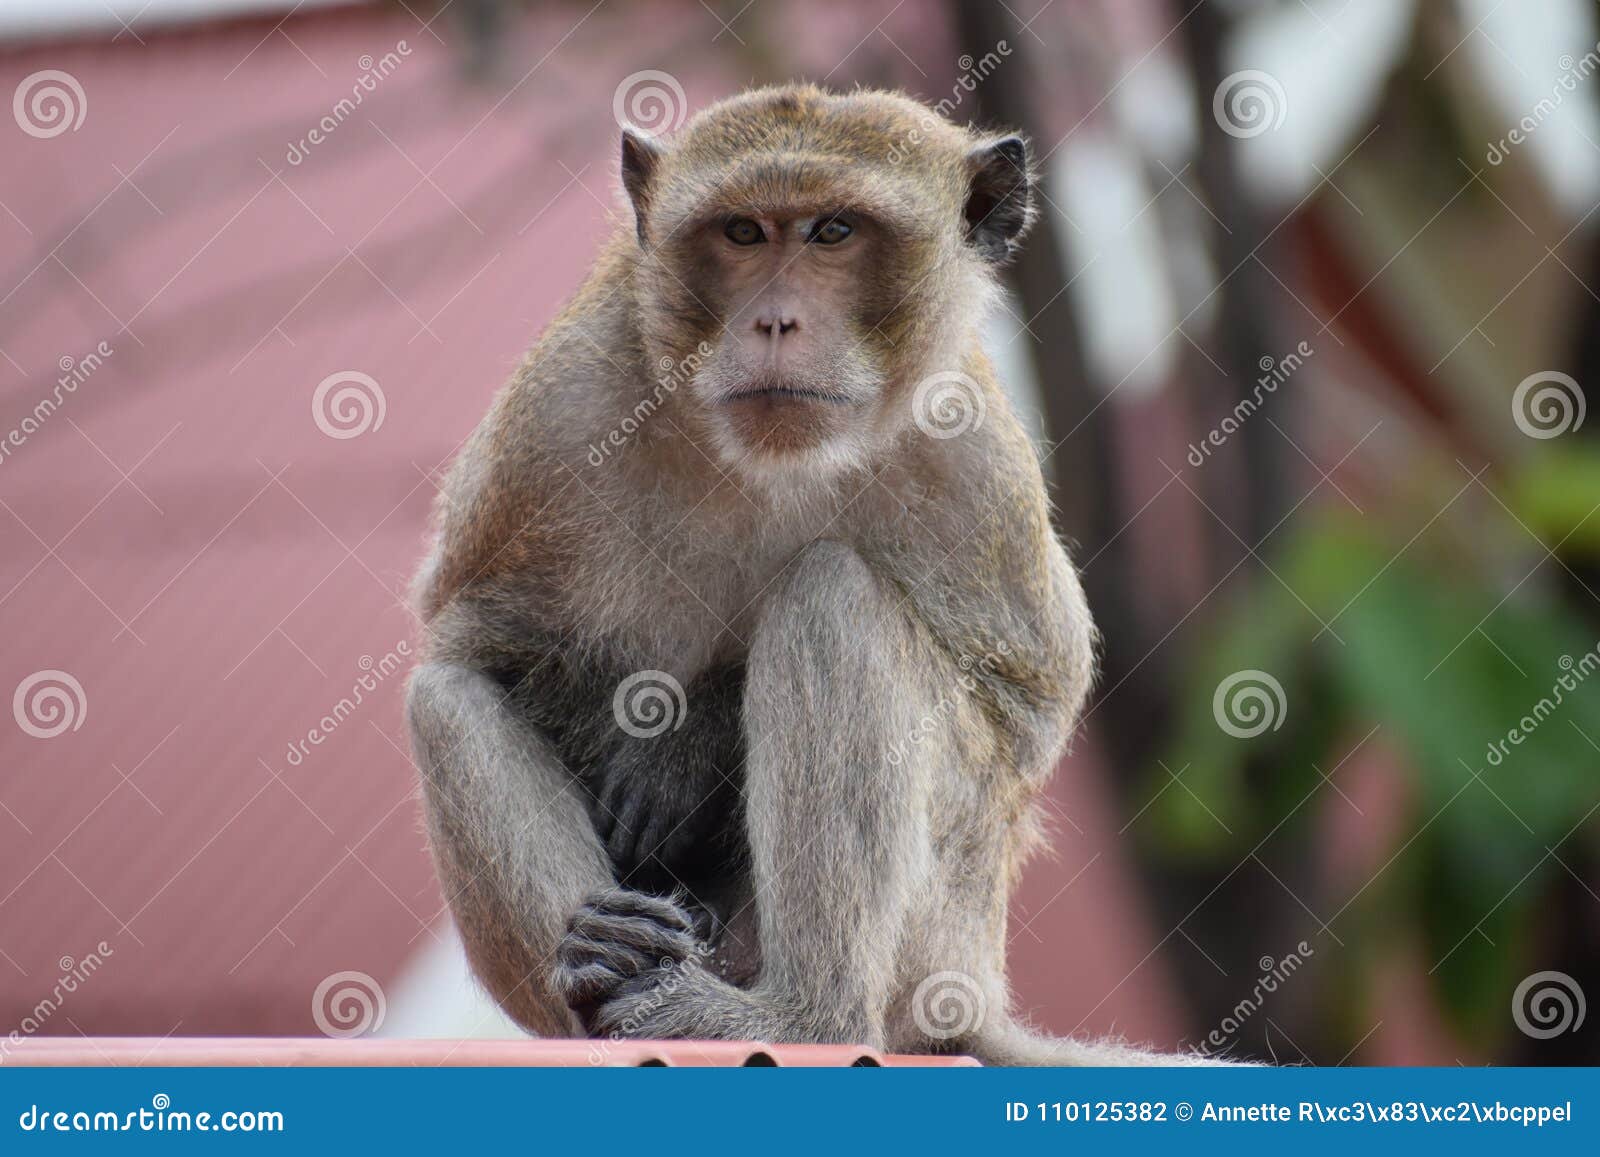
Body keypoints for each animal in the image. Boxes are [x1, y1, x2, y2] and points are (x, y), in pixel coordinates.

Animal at [406, 83, 1216, 1068]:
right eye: (743, 233)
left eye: (833, 231)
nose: (775, 321)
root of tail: (974, 989)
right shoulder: (558, 414)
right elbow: (477, 640)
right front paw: (667, 751)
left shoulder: (973, 455)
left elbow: (1027, 702)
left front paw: (693, 742)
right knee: (447, 698)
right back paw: (606, 962)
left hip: (938, 935)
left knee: (833, 596)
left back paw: (801, 1016)